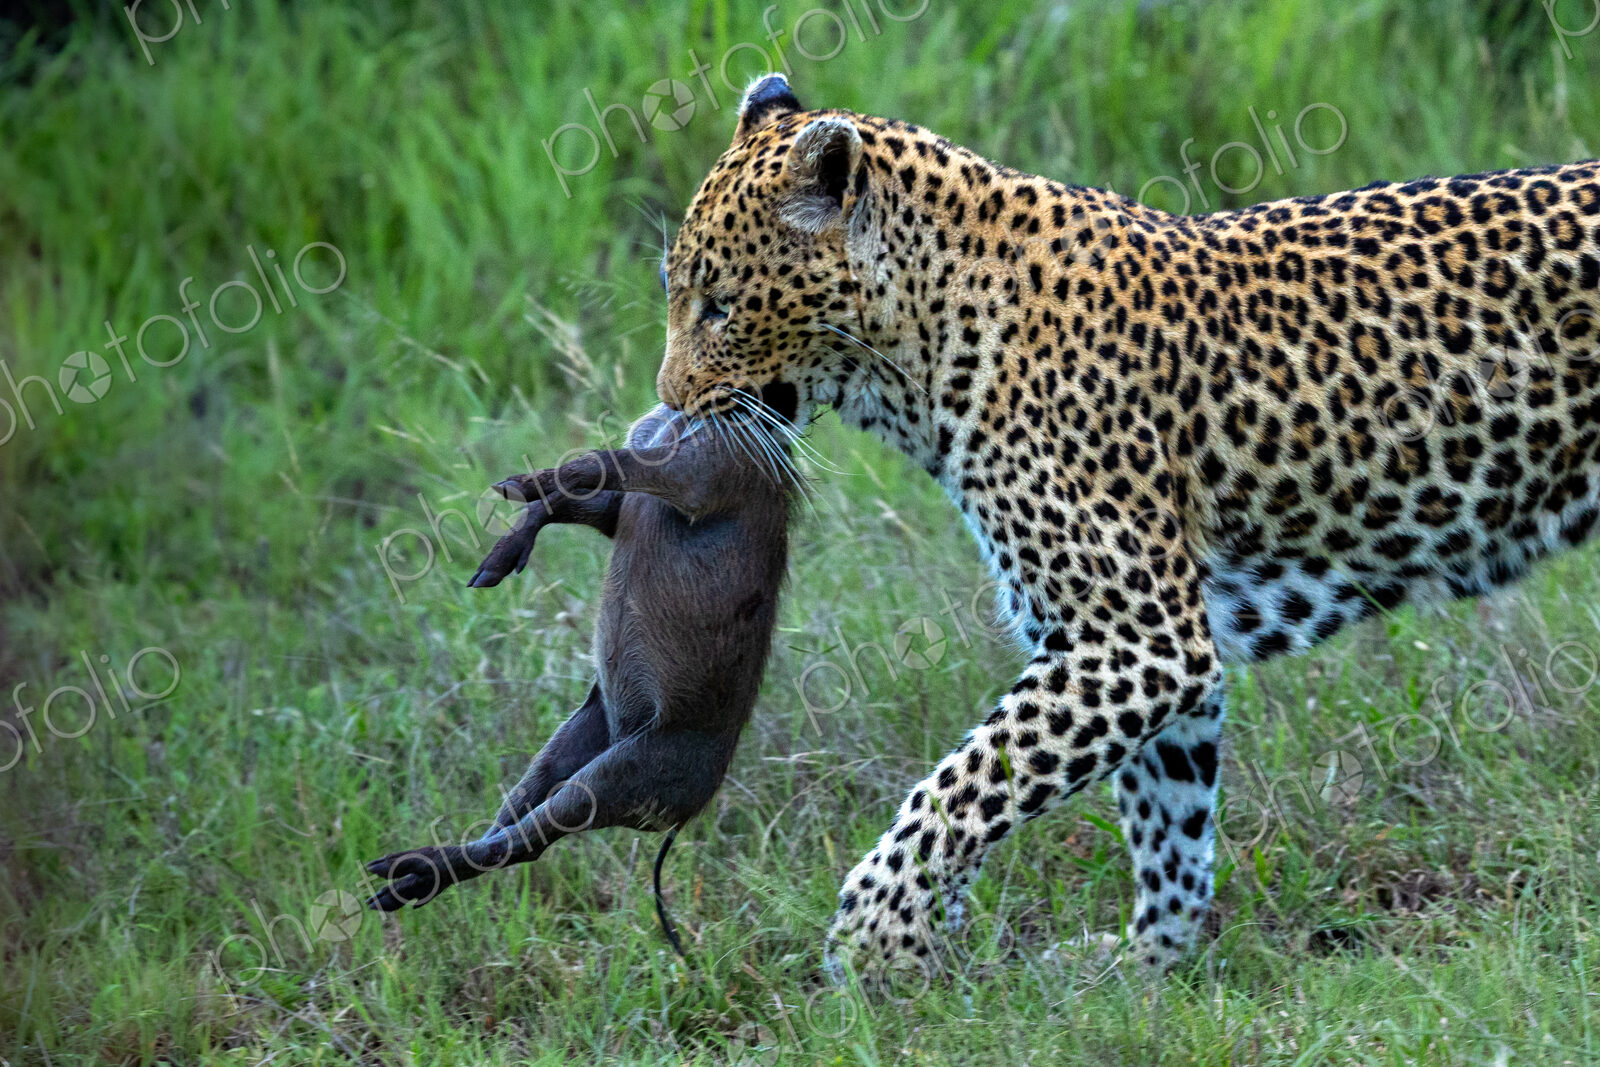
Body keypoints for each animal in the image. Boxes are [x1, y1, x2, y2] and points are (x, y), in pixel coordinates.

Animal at [651, 72, 1600, 979]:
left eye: (719, 305)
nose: (669, 401)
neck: (922, 351)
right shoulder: (1154, 650)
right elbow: (1170, 819)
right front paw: (1145, 964)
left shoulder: (1138, 638)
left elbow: (963, 784)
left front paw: (874, 937)